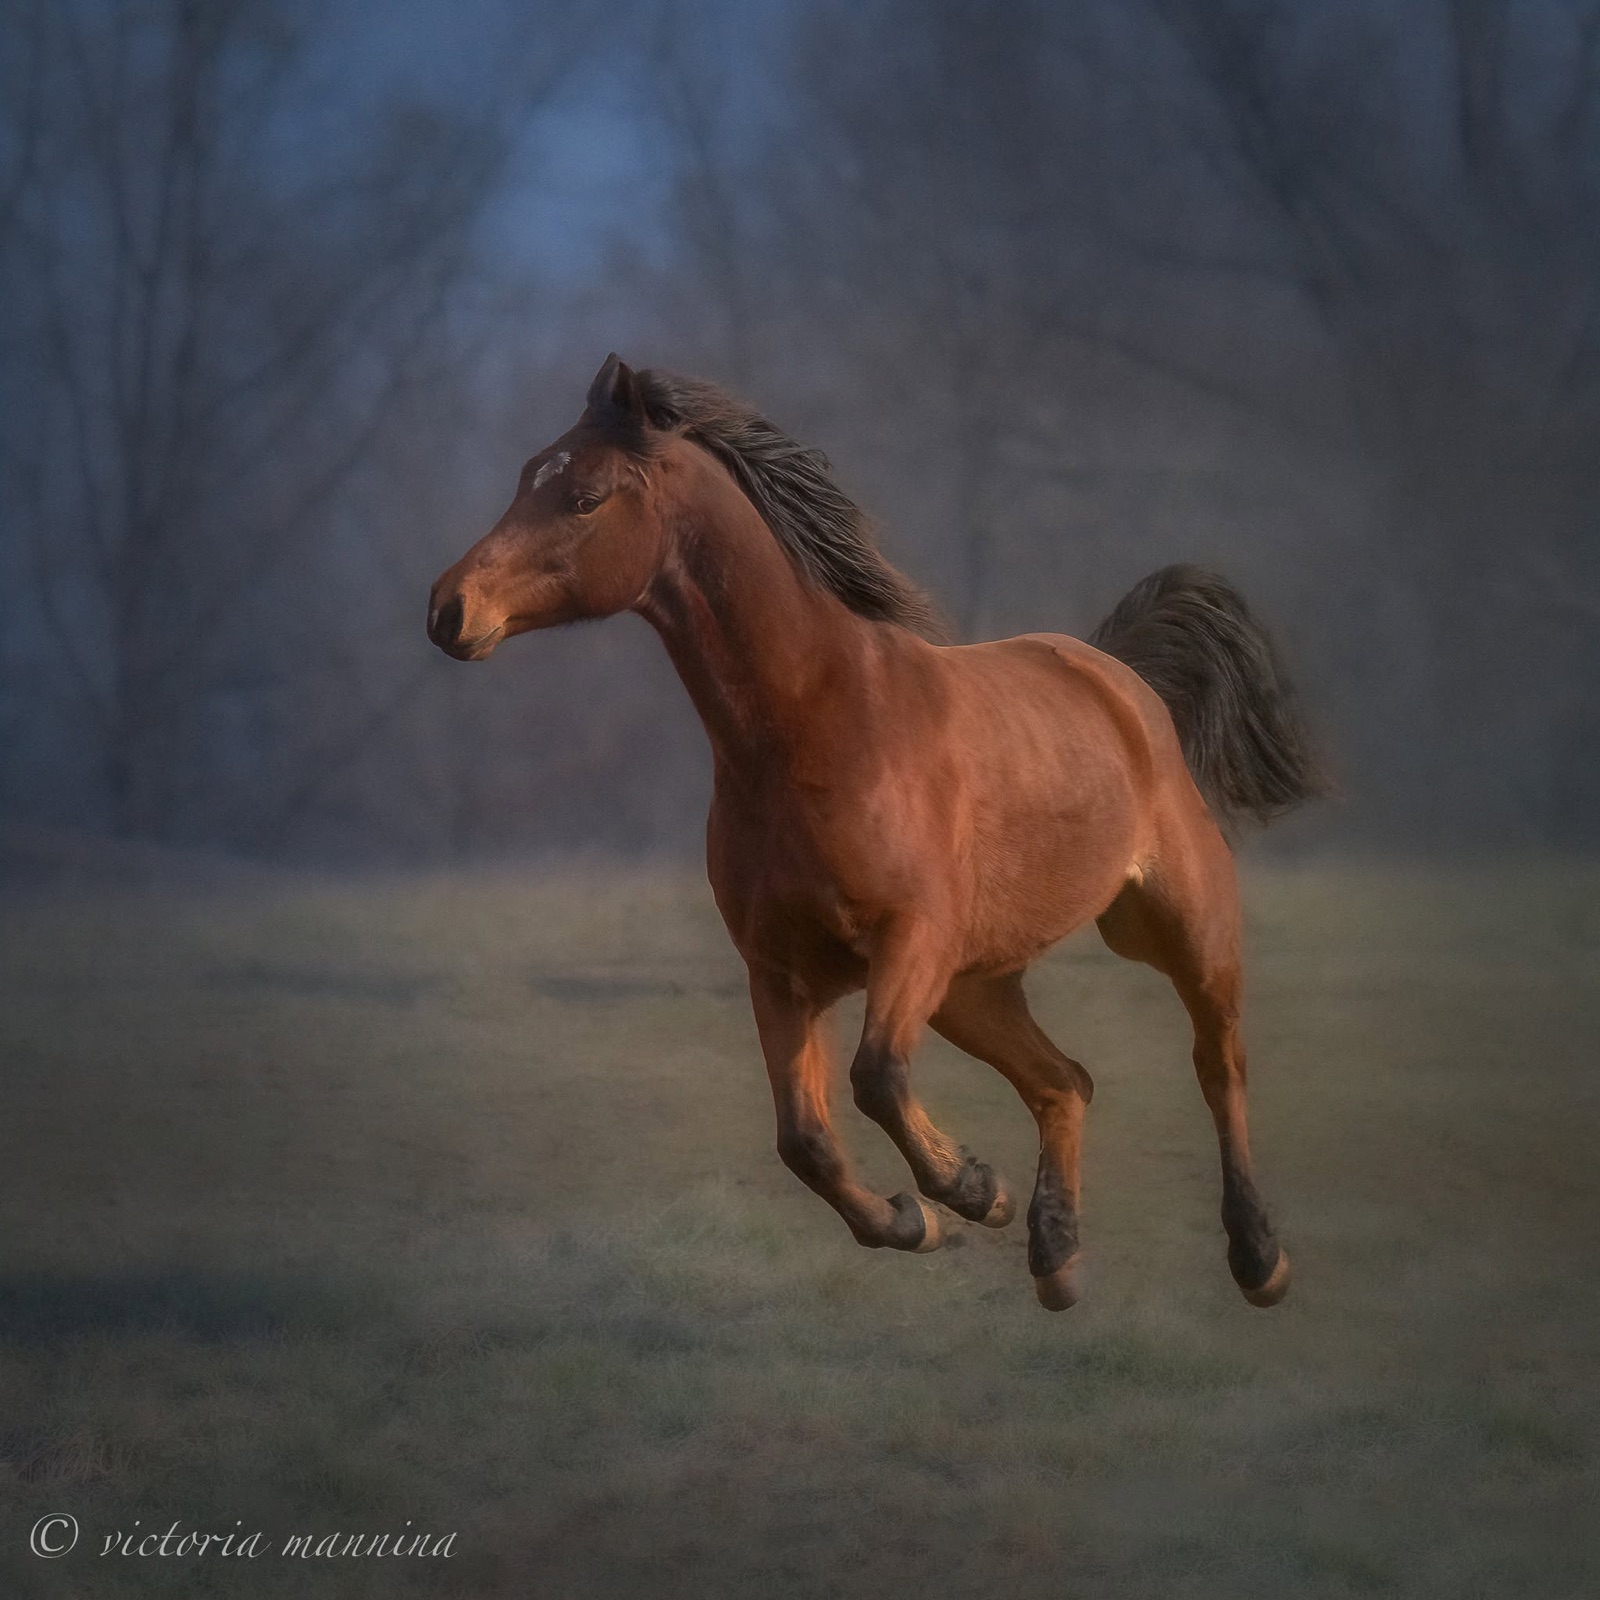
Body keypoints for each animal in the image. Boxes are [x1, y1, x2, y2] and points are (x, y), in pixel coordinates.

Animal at [427, 354, 1321, 1311]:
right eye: (528, 476)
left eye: (584, 496)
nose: (449, 609)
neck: (820, 728)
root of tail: (1119, 678)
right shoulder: (781, 972)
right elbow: (805, 1140)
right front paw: (921, 1218)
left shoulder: (909, 939)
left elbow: (877, 1078)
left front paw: (968, 1187)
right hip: (975, 987)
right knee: (1064, 1083)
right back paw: (1056, 1256)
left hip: (1178, 930)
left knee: (1217, 1064)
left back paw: (1258, 1259)